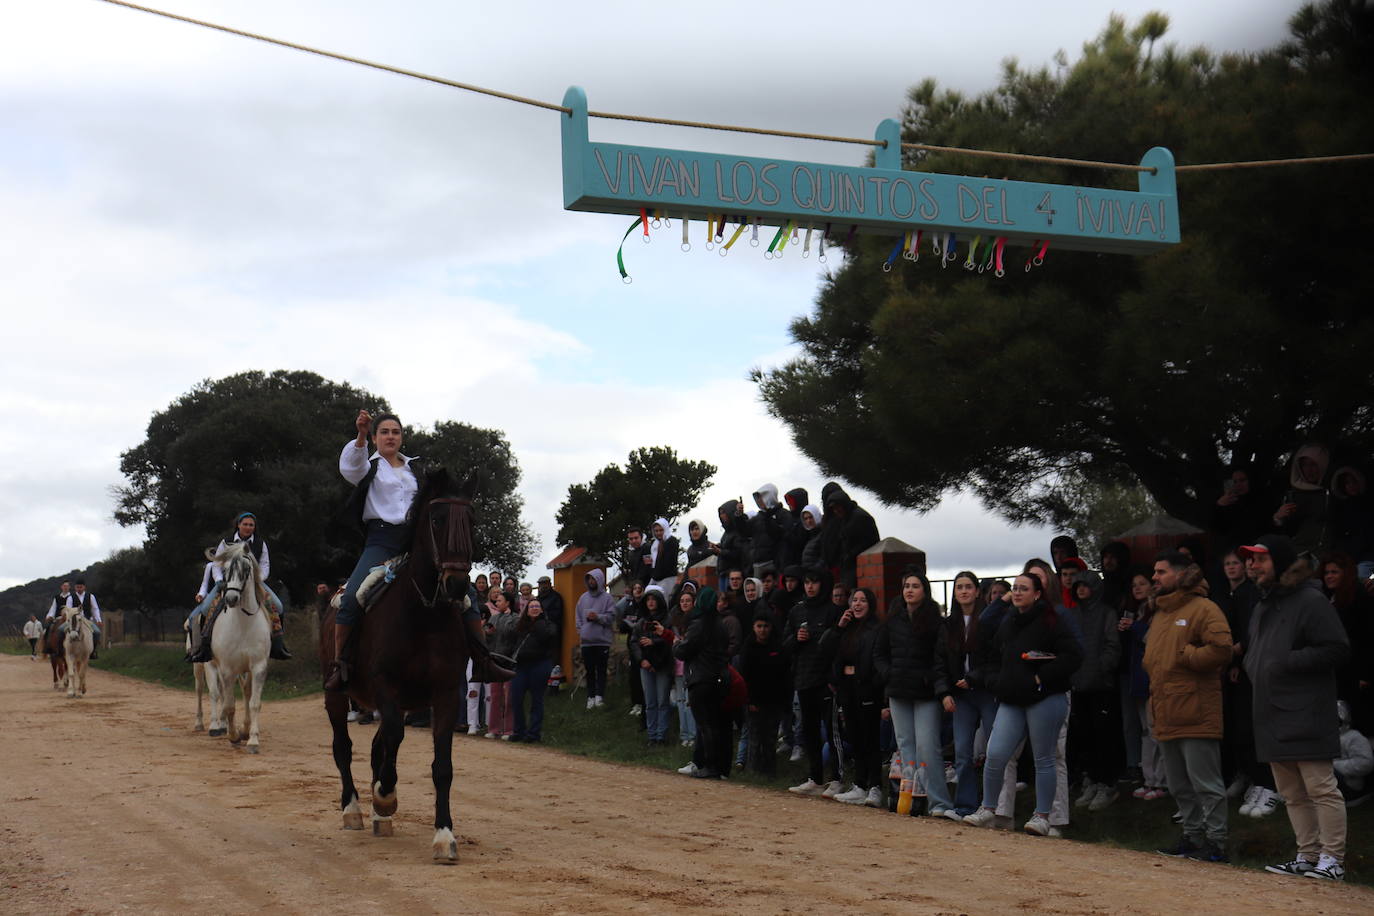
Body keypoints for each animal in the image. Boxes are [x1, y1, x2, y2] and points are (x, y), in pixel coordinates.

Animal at [203, 543, 270, 752]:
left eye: (246, 569)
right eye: (225, 570)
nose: (231, 598)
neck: (243, 624)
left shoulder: (258, 666)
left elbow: (254, 702)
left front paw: (252, 739)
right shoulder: (227, 669)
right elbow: (230, 705)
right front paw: (233, 736)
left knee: (246, 693)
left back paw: (244, 729)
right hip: (211, 665)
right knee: (218, 695)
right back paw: (217, 726)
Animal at [321, 469, 478, 862]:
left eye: (471, 520)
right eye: (437, 520)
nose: (457, 584)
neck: (423, 615)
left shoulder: (446, 694)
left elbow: (441, 767)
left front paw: (444, 835)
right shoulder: (384, 686)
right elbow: (391, 737)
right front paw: (384, 795)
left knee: (380, 744)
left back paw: (380, 814)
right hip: (337, 695)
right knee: (344, 747)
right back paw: (355, 809)